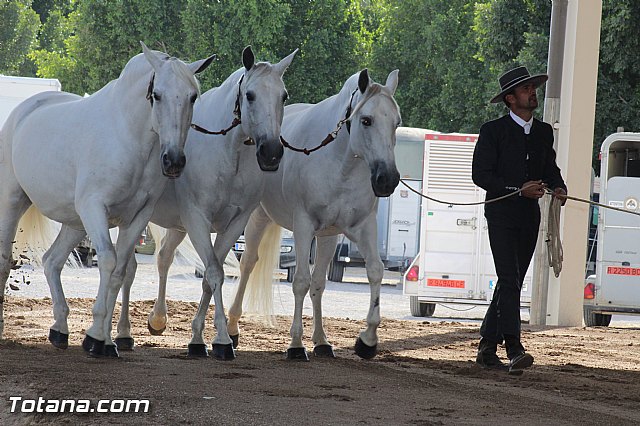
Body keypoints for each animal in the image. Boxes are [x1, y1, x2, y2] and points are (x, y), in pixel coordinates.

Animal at [0, 43, 215, 356]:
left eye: (192, 96)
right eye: (157, 94)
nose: (174, 161)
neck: (128, 137)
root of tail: (21, 112)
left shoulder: (136, 217)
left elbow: (120, 271)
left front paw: (107, 342)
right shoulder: (95, 209)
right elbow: (108, 261)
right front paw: (93, 337)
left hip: (75, 223)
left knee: (52, 261)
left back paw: (60, 329)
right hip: (14, 202)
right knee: (5, 260)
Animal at [114, 46, 296, 360]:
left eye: (283, 96)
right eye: (250, 95)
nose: (271, 152)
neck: (229, 154)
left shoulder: (234, 223)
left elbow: (214, 275)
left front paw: (198, 337)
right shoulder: (198, 218)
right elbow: (212, 272)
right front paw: (221, 340)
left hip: (176, 226)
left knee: (163, 258)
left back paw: (158, 319)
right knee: (129, 269)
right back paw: (123, 333)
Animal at [228, 69, 400, 360]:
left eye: (396, 123)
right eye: (366, 120)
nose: (387, 179)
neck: (340, 164)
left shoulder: (357, 228)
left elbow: (372, 272)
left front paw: (366, 341)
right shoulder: (304, 227)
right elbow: (300, 281)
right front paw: (296, 345)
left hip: (326, 237)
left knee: (318, 282)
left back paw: (321, 341)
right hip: (258, 219)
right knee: (248, 263)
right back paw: (231, 330)